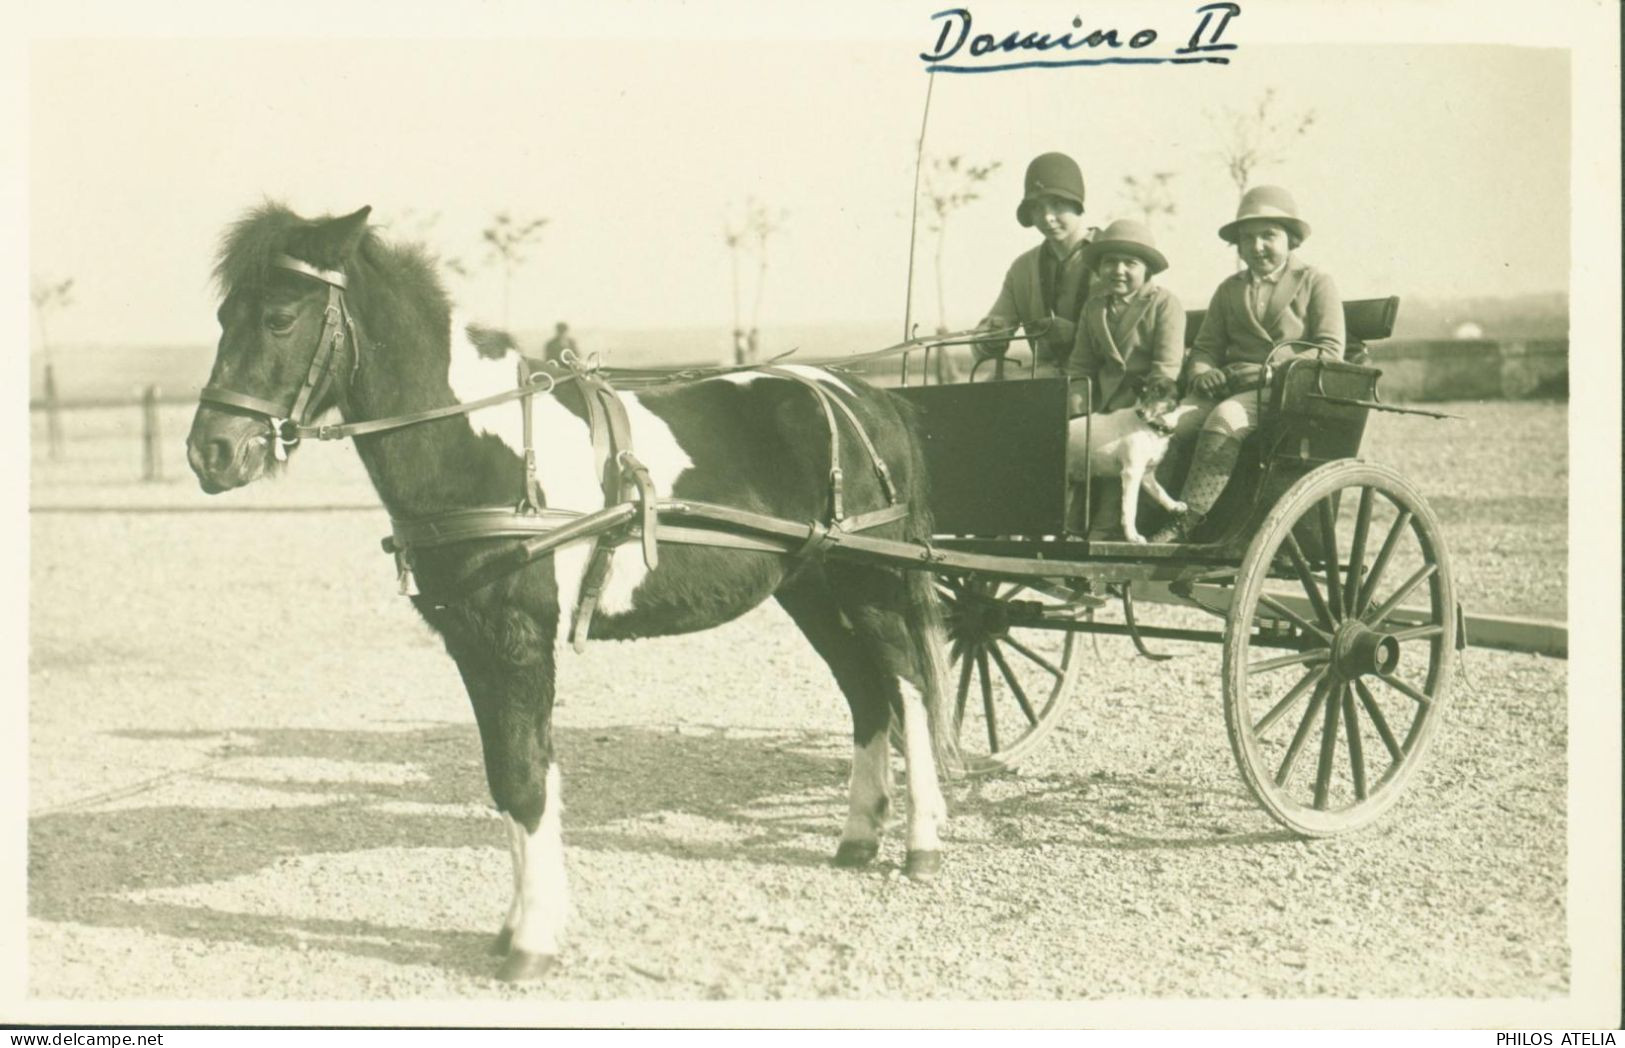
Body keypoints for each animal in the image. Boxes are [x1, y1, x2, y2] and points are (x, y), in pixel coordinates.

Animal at [186, 204, 955, 981]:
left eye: (280, 318)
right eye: (221, 315)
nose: (209, 452)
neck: (480, 444)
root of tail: (862, 396)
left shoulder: (518, 639)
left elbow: (527, 778)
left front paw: (532, 940)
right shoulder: (470, 641)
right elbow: (507, 776)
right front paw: (518, 926)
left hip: (868, 583)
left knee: (908, 689)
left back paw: (921, 842)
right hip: (812, 588)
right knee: (866, 695)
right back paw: (858, 836)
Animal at [1072, 373, 1202, 539]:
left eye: (1160, 392)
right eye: (1142, 392)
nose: (1140, 412)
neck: (1152, 429)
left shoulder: (1146, 474)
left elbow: (1160, 492)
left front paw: (1174, 506)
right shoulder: (1131, 473)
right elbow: (1130, 508)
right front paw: (1132, 536)